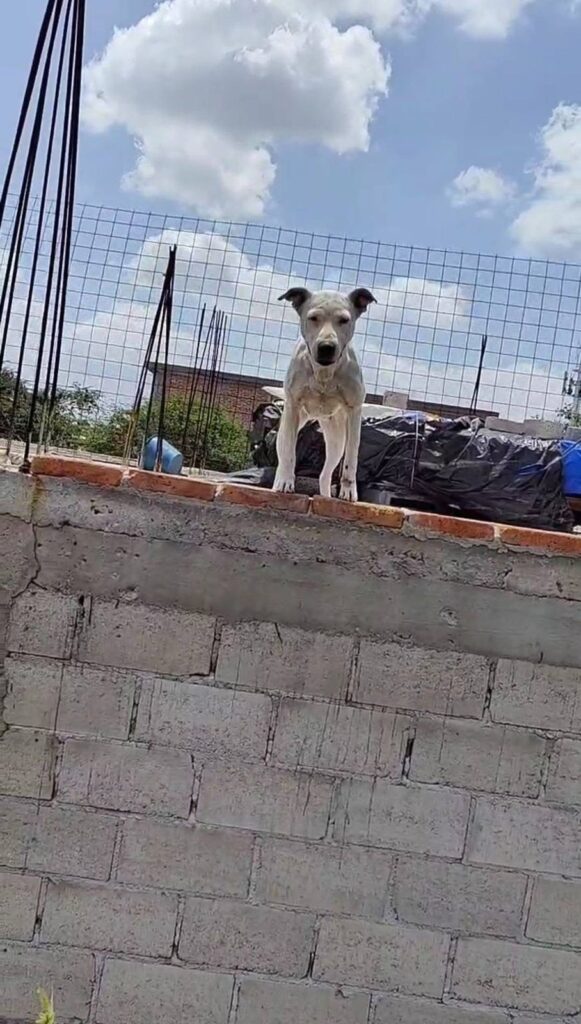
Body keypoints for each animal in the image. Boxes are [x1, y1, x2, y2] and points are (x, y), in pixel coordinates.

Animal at [273, 287, 376, 502]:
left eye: (344, 320)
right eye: (313, 318)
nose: (326, 347)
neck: (324, 372)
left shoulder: (354, 412)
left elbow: (351, 458)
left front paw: (348, 491)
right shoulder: (293, 407)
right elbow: (289, 453)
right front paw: (286, 482)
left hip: (336, 438)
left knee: (325, 474)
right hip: (288, 426)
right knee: (283, 452)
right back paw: (279, 480)